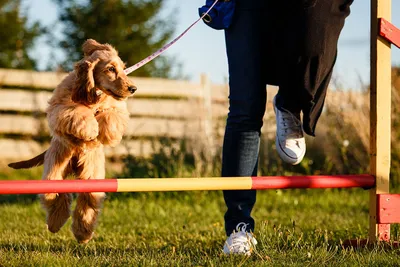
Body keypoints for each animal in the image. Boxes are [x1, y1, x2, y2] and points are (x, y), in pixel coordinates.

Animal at [7, 38, 136, 244]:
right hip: (54, 171)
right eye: (110, 69)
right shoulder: (60, 107)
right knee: (58, 195)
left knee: (88, 200)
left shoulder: (118, 109)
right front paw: (91, 128)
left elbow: (112, 115)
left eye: (124, 68)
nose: (133, 88)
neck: (94, 94)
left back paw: (83, 233)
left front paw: (103, 132)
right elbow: (77, 111)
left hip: (93, 178)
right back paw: (56, 223)